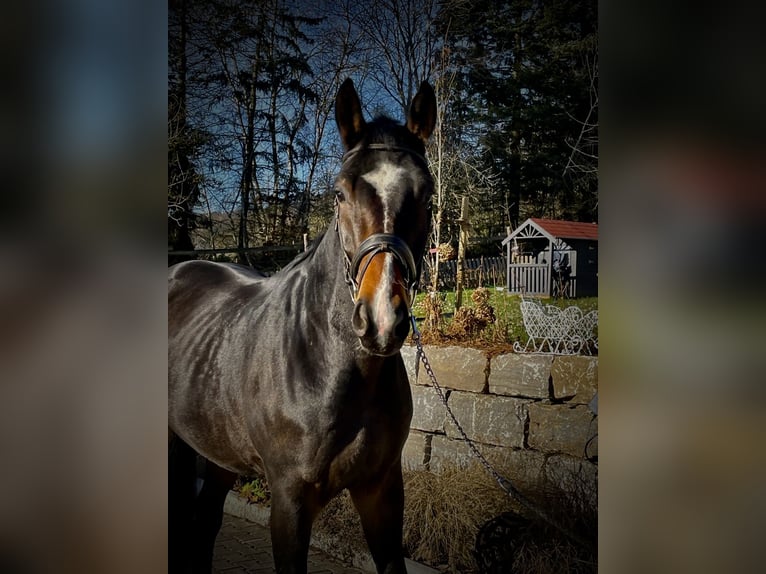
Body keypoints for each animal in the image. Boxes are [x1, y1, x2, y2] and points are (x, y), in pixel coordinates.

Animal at [170, 80, 436, 574]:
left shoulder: (382, 492)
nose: (381, 319)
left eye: (426, 194)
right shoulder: (290, 503)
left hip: (217, 453)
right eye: (340, 194)